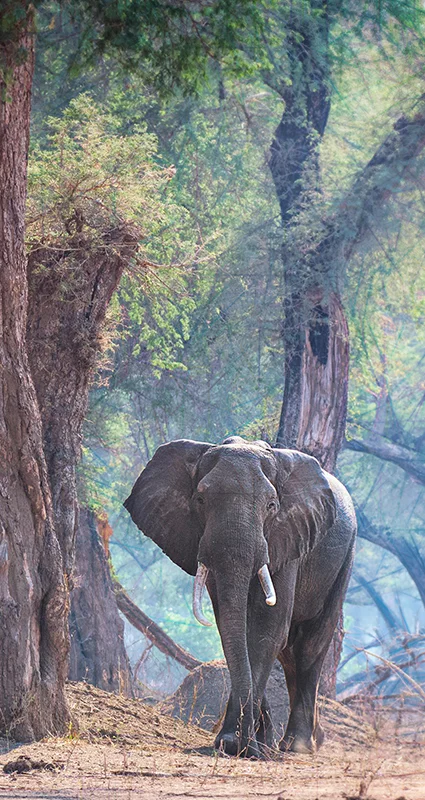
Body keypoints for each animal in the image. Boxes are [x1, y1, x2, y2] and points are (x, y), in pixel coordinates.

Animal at [124, 435, 356, 758]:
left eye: (272, 505)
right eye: (200, 500)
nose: (247, 745)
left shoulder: (288, 538)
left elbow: (266, 630)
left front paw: (238, 744)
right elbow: (233, 629)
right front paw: (239, 742)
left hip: (344, 558)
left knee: (310, 646)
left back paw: (297, 746)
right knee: (288, 654)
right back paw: (293, 741)